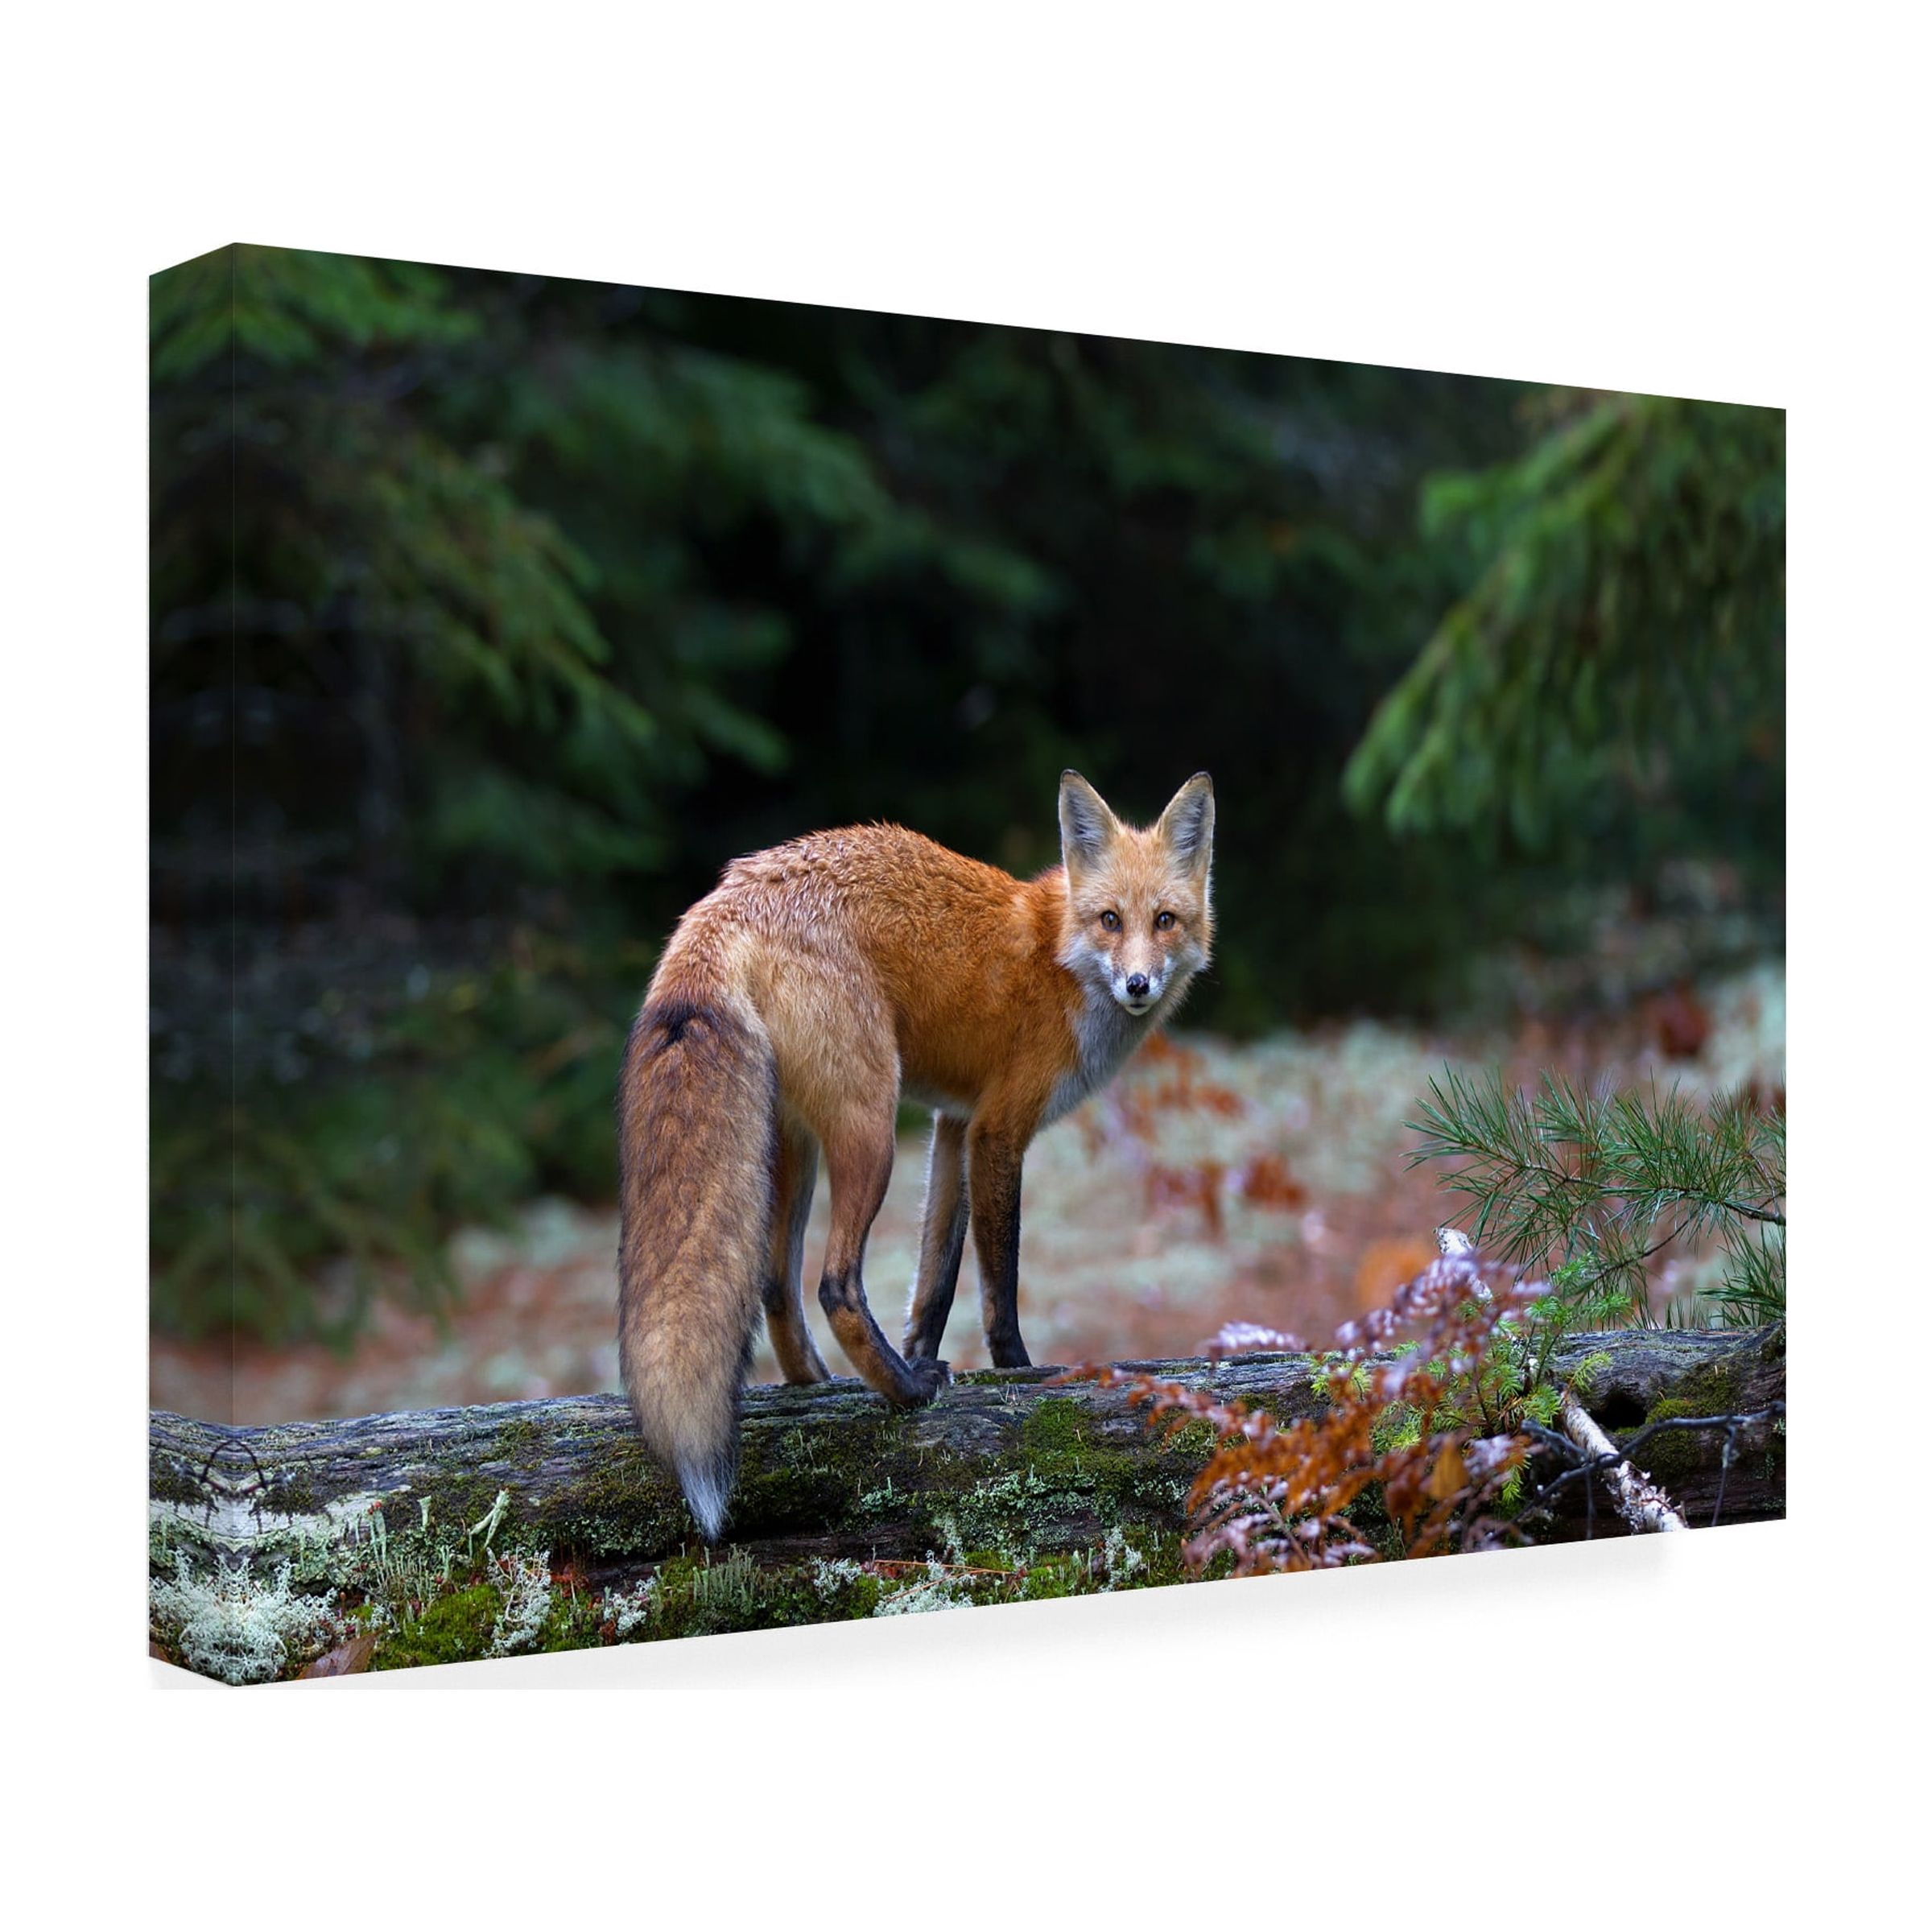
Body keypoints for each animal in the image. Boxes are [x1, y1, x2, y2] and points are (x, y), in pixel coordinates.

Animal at [617, 768, 1215, 1539]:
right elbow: (998, 1285)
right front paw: (1019, 1372)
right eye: (1110, 920)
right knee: (834, 1285)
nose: (1138, 985)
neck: (1058, 959)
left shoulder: (953, 1126)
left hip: (796, 1145)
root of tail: (728, 896)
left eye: (1164, 920)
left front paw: (924, 1353)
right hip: (870, 1129)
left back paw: (826, 1385)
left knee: (777, 1285)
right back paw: (904, 1394)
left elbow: (935, 1283)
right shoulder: (997, 1131)